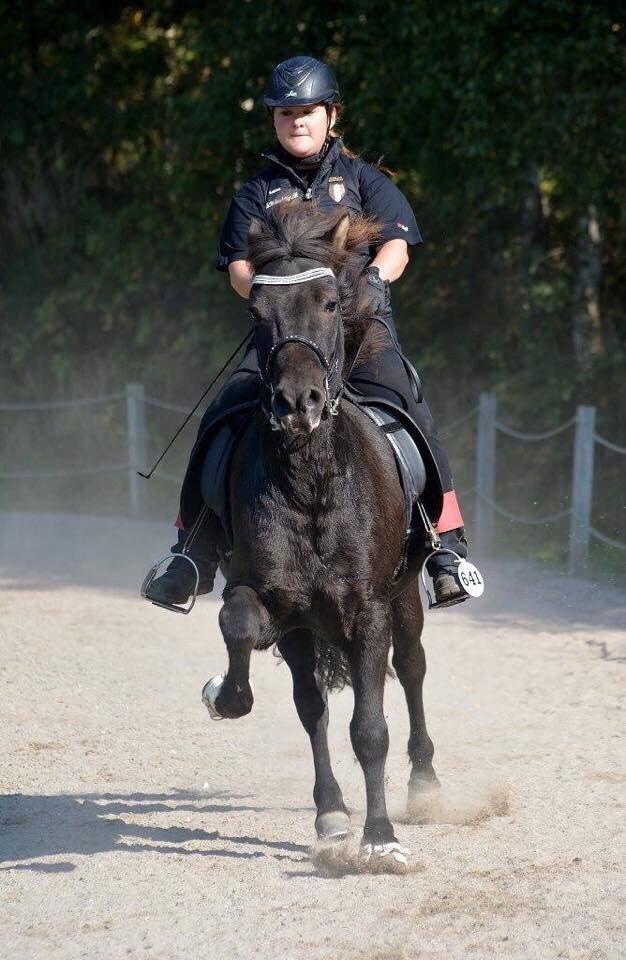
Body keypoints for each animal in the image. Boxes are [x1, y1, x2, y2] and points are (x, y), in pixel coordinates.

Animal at [202, 202, 436, 864]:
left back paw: (425, 784)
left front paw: (381, 839)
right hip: (308, 628)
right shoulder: (276, 600)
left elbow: (371, 727)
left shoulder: (370, 609)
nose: (296, 403)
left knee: (412, 668)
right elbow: (241, 626)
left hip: (406, 597)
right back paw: (330, 811)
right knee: (313, 707)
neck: (312, 482)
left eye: (331, 303)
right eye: (257, 312)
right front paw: (226, 695)